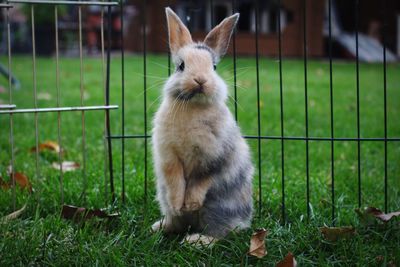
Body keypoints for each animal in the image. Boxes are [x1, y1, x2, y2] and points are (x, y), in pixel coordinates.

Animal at [150, 7, 253, 247]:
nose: (200, 80)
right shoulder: (169, 155)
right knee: (176, 220)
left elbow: (202, 179)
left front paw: (191, 204)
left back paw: (196, 240)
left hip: (219, 207)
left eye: (213, 67)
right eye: (180, 66)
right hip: (164, 198)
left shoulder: (213, 157)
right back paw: (160, 227)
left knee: (221, 232)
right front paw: (180, 203)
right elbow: (175, 178)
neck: (193, 107)